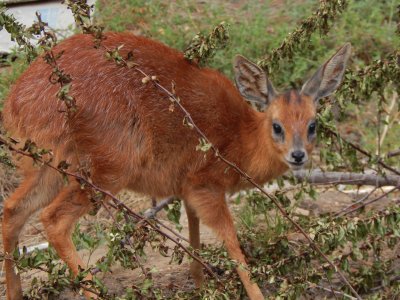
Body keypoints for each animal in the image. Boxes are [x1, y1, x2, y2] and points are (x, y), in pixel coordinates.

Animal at [0, 31, 350, 300]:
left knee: (12, 211)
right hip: (106, 170)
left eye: (313, 125)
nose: (298, 155)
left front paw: (200, 287)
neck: (241, 136)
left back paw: (15, 293)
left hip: (47, 166)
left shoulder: (186, 189)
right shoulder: (207, 186)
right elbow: (232, 243)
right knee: (54, 219)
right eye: (277, 126)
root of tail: (19, 101)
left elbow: (194, 240)